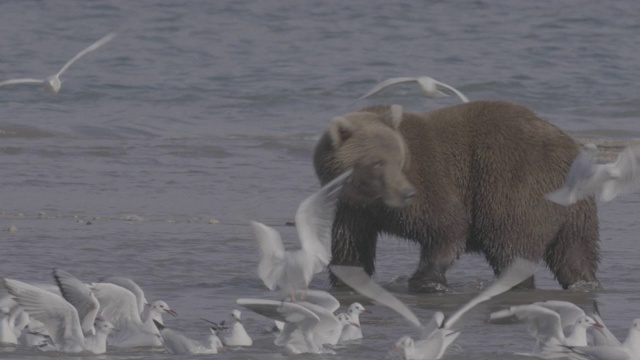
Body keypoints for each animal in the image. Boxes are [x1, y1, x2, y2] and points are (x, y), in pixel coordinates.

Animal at [314, 100, 600, 292]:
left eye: (399, 158)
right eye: (377, 163)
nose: (406, 193)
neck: (374, 199)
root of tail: (570, 147)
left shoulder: (432, 179)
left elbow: (446, 226)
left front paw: (427, 278)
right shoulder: (354, 209)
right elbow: (351, 244)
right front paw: (346, 277)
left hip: (514, 181)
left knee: (510, 241)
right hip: (576, 210)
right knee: (574, 252)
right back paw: (583, 282)